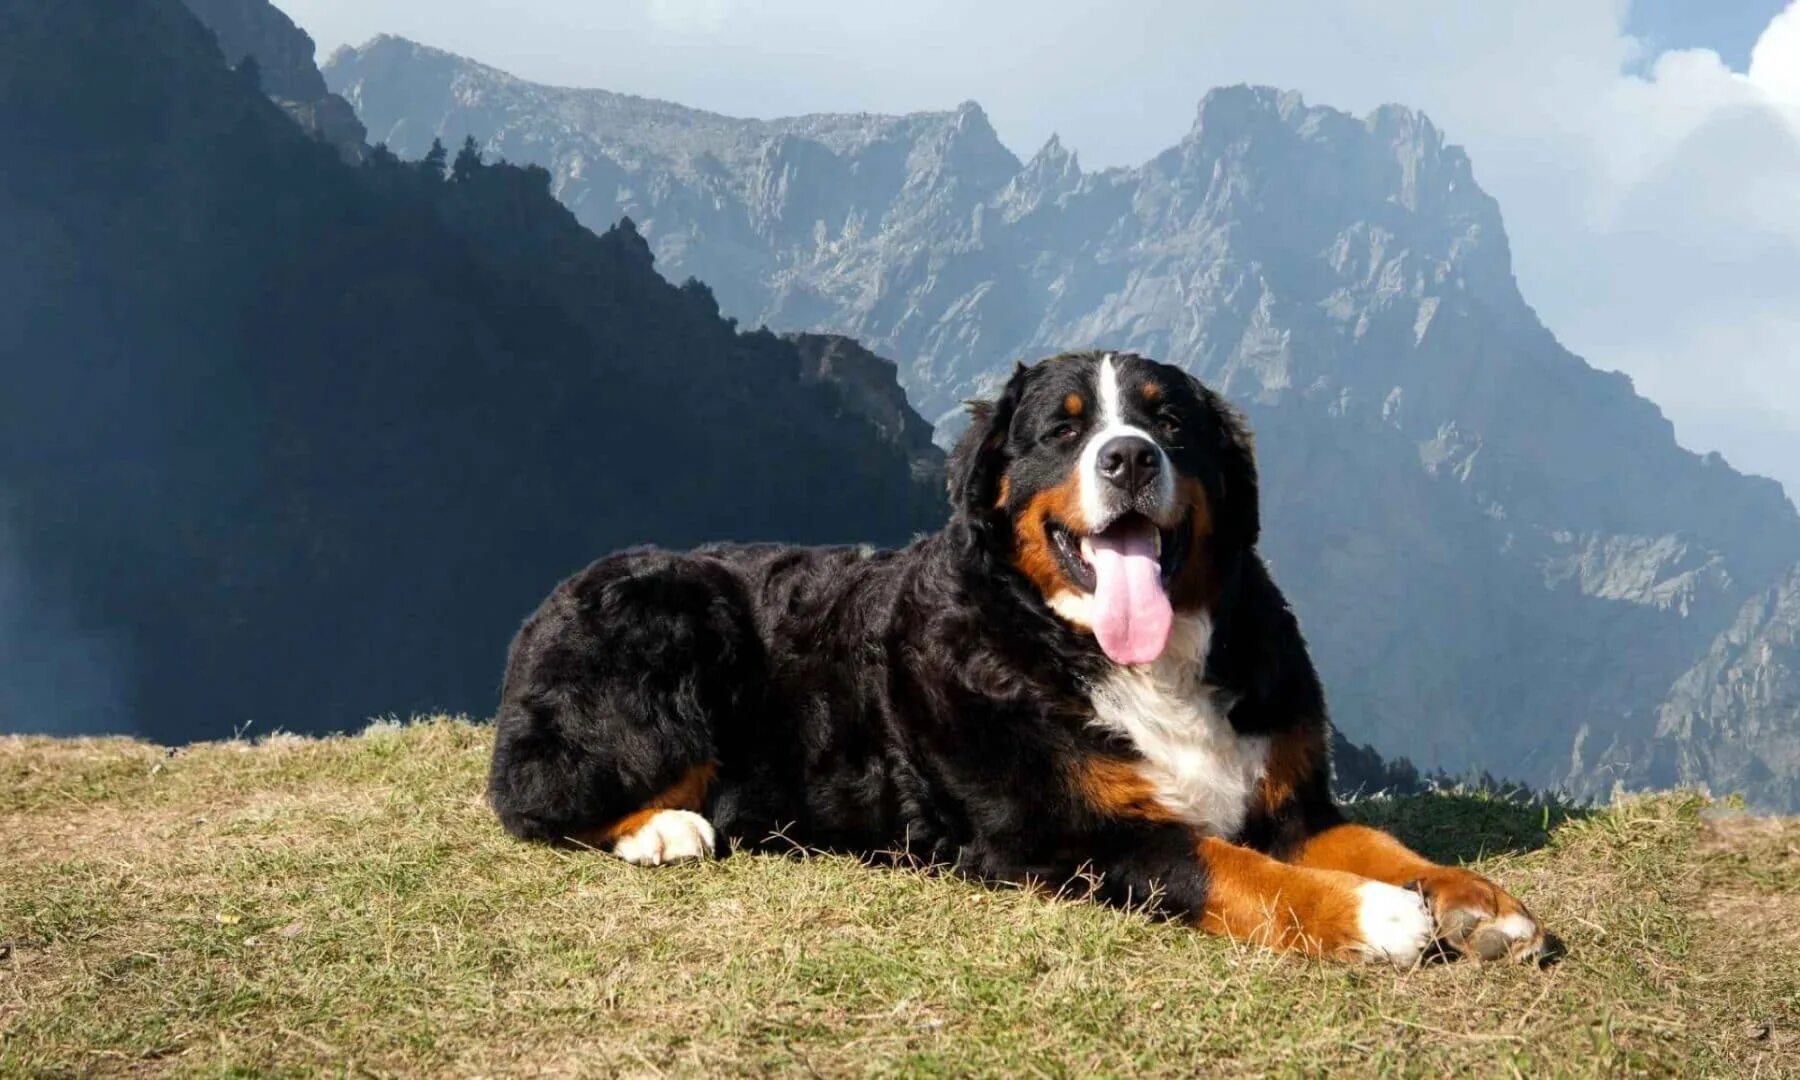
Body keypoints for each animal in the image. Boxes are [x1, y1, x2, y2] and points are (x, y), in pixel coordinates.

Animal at [489, 351, 1548, 964]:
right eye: (1063, 427)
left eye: (1170, 422)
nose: (1129, 457)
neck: (1127, 658)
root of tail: (544, 604)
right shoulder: (1068, 838)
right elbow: (1236, 872)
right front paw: (1382, 920)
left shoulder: (1288, 801)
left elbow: (1382, 844)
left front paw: (1480, 905)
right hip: (673, 614)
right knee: (536, 799)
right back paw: (664, 828)